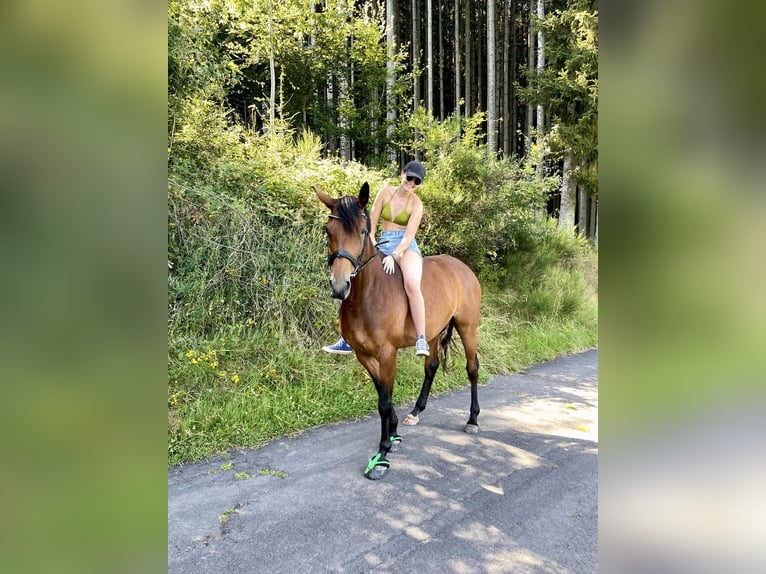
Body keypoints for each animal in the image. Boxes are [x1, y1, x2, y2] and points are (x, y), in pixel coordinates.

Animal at [316, 183, 484, 482]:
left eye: (362, 231)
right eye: (328, 230)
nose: (339, 286)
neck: (368, 294)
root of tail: (462, 267)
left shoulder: (387, 353)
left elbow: (384, 401)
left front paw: (382, 455)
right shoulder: (363, 355)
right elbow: (383, 394)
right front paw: (393, 433)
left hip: (467, 327)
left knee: (472, 367)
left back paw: (472, 419)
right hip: (431, 331)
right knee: (431, 365)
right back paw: (416, 411)